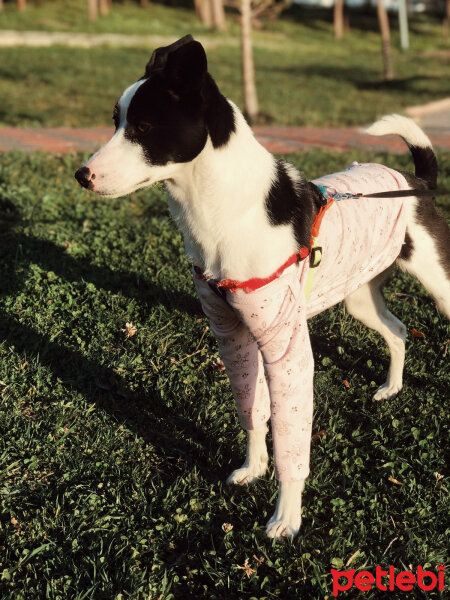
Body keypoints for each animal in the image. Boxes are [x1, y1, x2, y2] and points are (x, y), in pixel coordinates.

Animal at [74, 34, 450, 540]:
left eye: (145, 127)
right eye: (116, 122)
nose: (82, 175)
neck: (229, 213)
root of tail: (415, 181)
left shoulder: (286, 348)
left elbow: (289, 436)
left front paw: (286, 516)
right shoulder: (233, 336)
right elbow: (253, 411)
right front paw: (254, 469)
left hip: (439, 287)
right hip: (360, 297)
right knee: (398, 331)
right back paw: (391, 388)